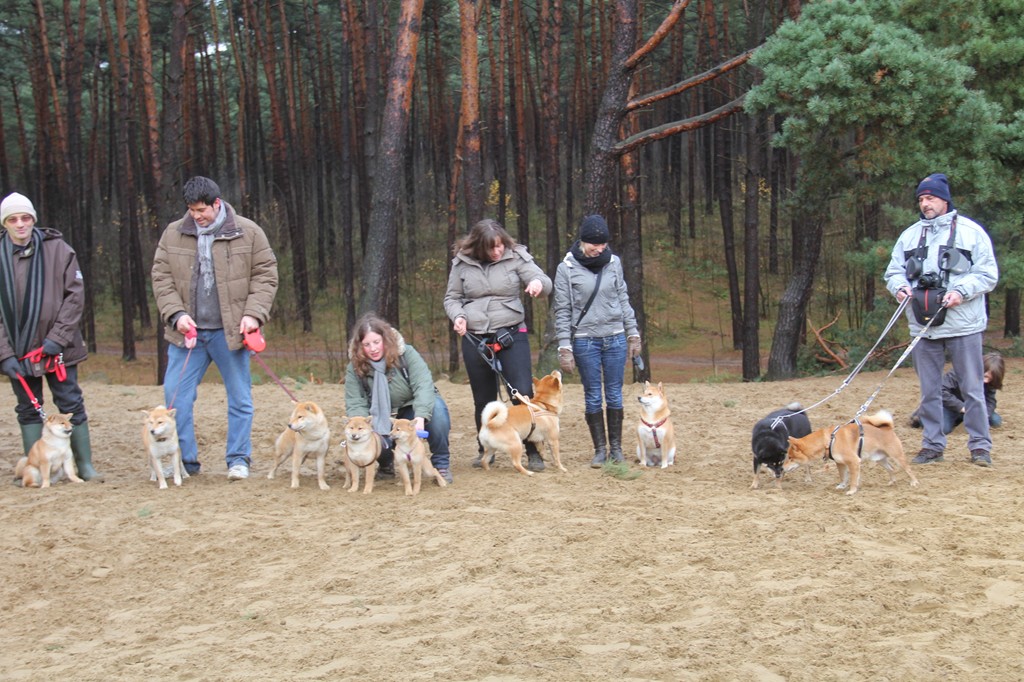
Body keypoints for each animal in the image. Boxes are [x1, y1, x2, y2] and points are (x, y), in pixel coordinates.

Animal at [782, 409, 921, 493]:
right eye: (787, 457)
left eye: (790, 458)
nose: (782, 468)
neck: (828, 441)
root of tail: (888, 428)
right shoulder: (840, 463)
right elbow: (843, 476)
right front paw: (842, 486)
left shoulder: (854, 462)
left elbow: (853, 478)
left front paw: (852, 490)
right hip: (880, 459)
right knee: (891, 469)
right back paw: (892, 482)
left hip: (897, 456)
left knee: (908, 469)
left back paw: (914, 482)